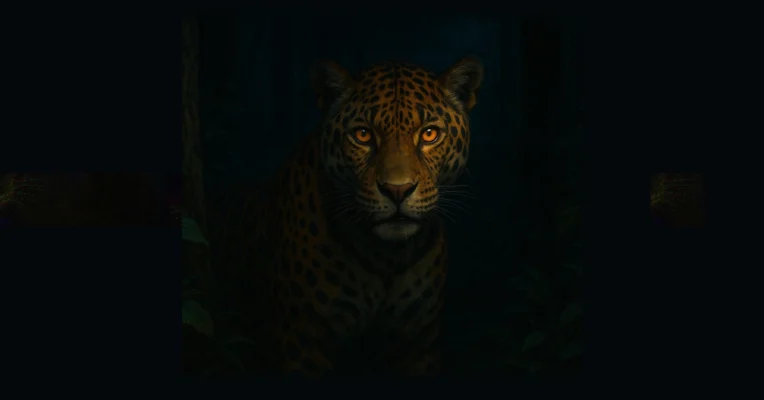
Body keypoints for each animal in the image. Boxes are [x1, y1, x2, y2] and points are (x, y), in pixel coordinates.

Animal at [207, 56, 483, 379]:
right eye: (363, 135)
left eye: (429, 134)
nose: (397, 190)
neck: (386, 258)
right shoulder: (303, 339)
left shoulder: (418, 340)